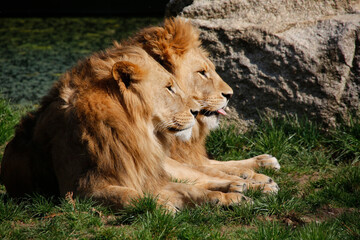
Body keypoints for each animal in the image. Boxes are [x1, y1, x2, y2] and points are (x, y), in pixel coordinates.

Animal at [0, 44, 249, 210]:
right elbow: (130, 196)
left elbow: (190, 188)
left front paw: (227, 198)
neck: (135, 132)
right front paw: (163, 206)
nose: (196, 112)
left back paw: (245, 182)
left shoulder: (146, 176)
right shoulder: (79, 189)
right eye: (169, 87)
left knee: (202, 174)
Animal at [126, 17, 282, 193]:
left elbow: (214, 164)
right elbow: (206, 169)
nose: (230, 94)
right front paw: (255, 177)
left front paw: (261, 163)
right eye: (202, 72)